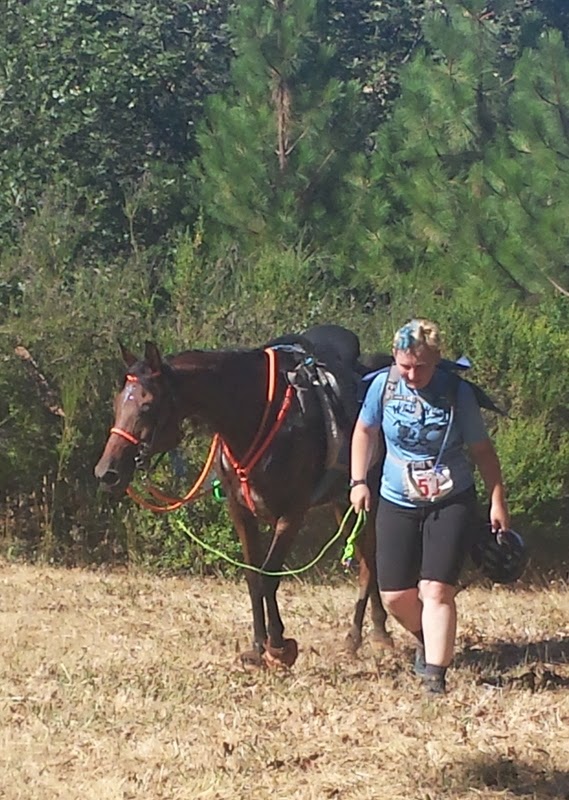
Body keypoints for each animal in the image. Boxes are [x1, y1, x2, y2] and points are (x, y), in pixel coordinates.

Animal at [94, 324, 392, 668]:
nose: (107, 473)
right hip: (343, 503)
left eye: (147, 405)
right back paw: (366, 635)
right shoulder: (241, 511)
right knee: (365, 557)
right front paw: (257, 646)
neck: (257, 415)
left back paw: (369, 635)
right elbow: (253, 578)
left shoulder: (292, 514)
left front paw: (279, 646)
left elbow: (269, 576)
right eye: (118, 404)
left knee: (371, 559)